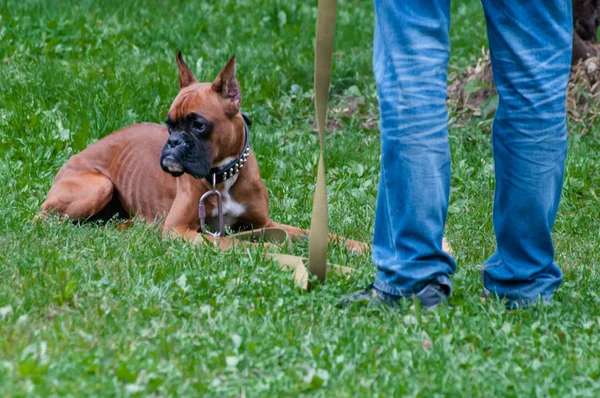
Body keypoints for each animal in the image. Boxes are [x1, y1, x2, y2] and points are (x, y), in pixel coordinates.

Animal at [39, 52, 368, 252]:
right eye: (169, 125)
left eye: (198, 125)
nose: (173, 143)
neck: (222, 175)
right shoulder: (180, 230)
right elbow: (235, 244)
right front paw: (266, 250)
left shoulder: (267, 224)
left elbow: (315, 234)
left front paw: (359, 247)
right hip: (98, 186)